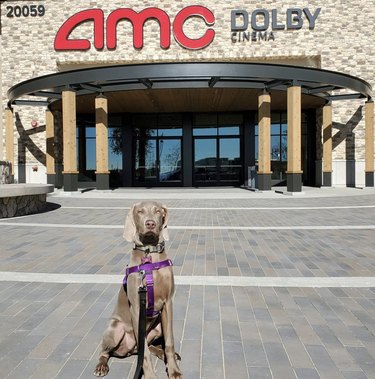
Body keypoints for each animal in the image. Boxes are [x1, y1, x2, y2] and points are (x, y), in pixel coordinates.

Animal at [94, 200, 182, 378]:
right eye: (140, 211)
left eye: (158, 211)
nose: (150, 223)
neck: (149, 254)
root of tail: (130, 349)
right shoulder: (136, 307)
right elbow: (145, 354)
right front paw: (150, 376)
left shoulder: (168, 303)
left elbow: (169, 342)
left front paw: (173, 369)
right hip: (115, 329)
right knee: (105, 352)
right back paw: (101, 366)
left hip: (157, 327)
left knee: (151, 346)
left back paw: (164, 353)